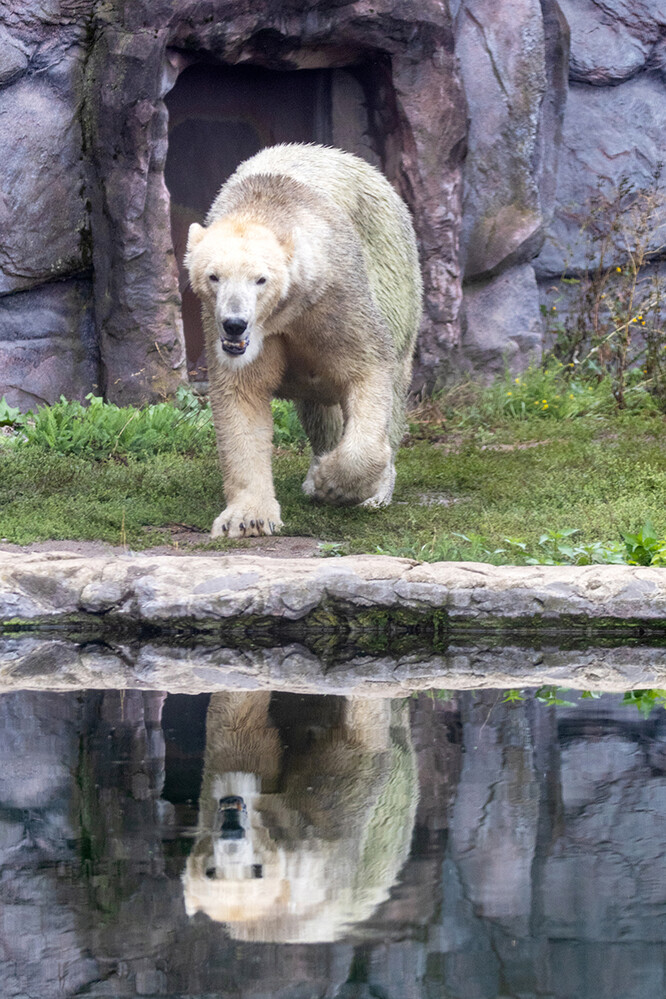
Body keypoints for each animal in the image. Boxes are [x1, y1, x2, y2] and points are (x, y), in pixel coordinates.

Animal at [183, 143, 420, 540]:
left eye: (260, 279)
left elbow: (368, 369)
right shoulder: (233, 334)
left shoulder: (337, 299)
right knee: (320, 409)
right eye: (214, 276)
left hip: (394, 271)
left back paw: (374, 490)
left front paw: (333, 484)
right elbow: (242, 397)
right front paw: (247, 518)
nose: (234, 325)